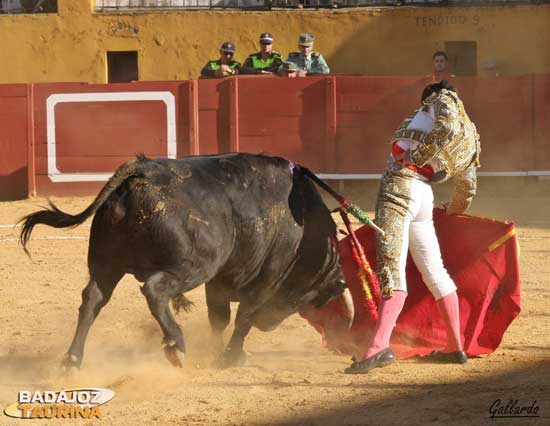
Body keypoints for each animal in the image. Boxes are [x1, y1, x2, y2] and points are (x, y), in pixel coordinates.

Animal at [19, 154, 356, 370]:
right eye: (310, 297)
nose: (269, 325)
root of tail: (140, 170)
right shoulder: (267, 275)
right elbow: (243, 317)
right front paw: (230, 357)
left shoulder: (220, 279)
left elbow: (219, 317)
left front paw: (215, 351)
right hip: (195, 265)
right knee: (154, 289)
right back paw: (175, 345)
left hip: (105, 263)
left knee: (92, 300)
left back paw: (72, 361)